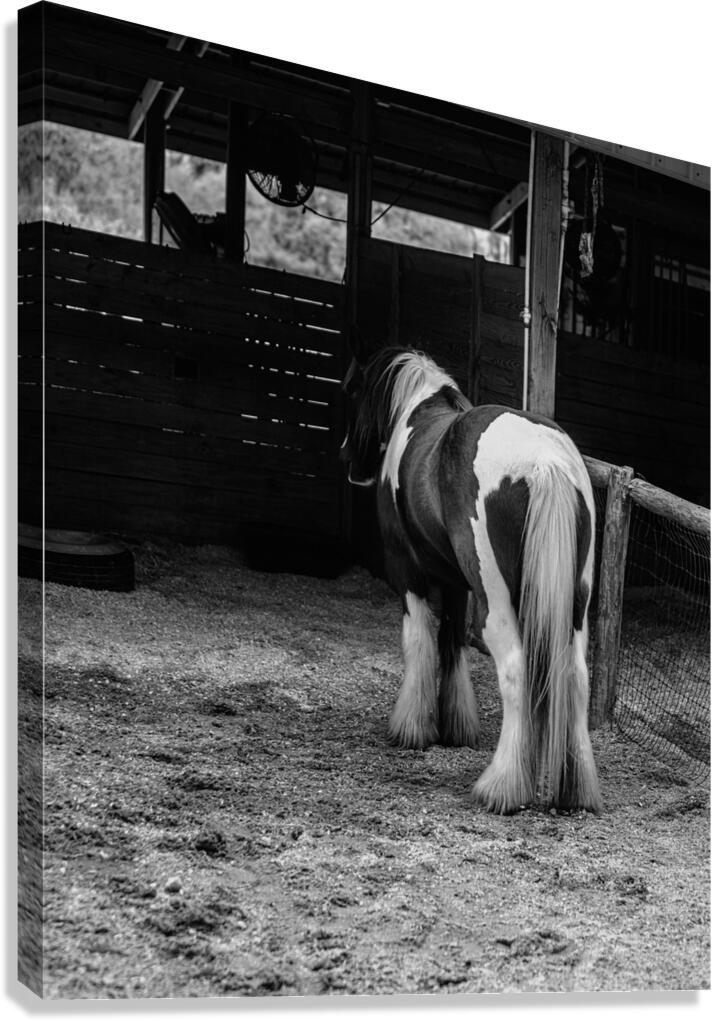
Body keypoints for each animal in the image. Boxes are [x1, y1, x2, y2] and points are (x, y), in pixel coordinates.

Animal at [340, 345, 601, 815]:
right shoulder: (457, 583)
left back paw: (501, 787)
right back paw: (576, 790)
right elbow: (451, 642)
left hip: (494, 604)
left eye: (350, 392)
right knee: (575, 675)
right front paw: (455, 727)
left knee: (515, 669)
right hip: (575, 607)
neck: (418, 412)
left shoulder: (406, 571)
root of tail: (544, 459)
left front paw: (411, 727)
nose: (348, 459)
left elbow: (419, 640)